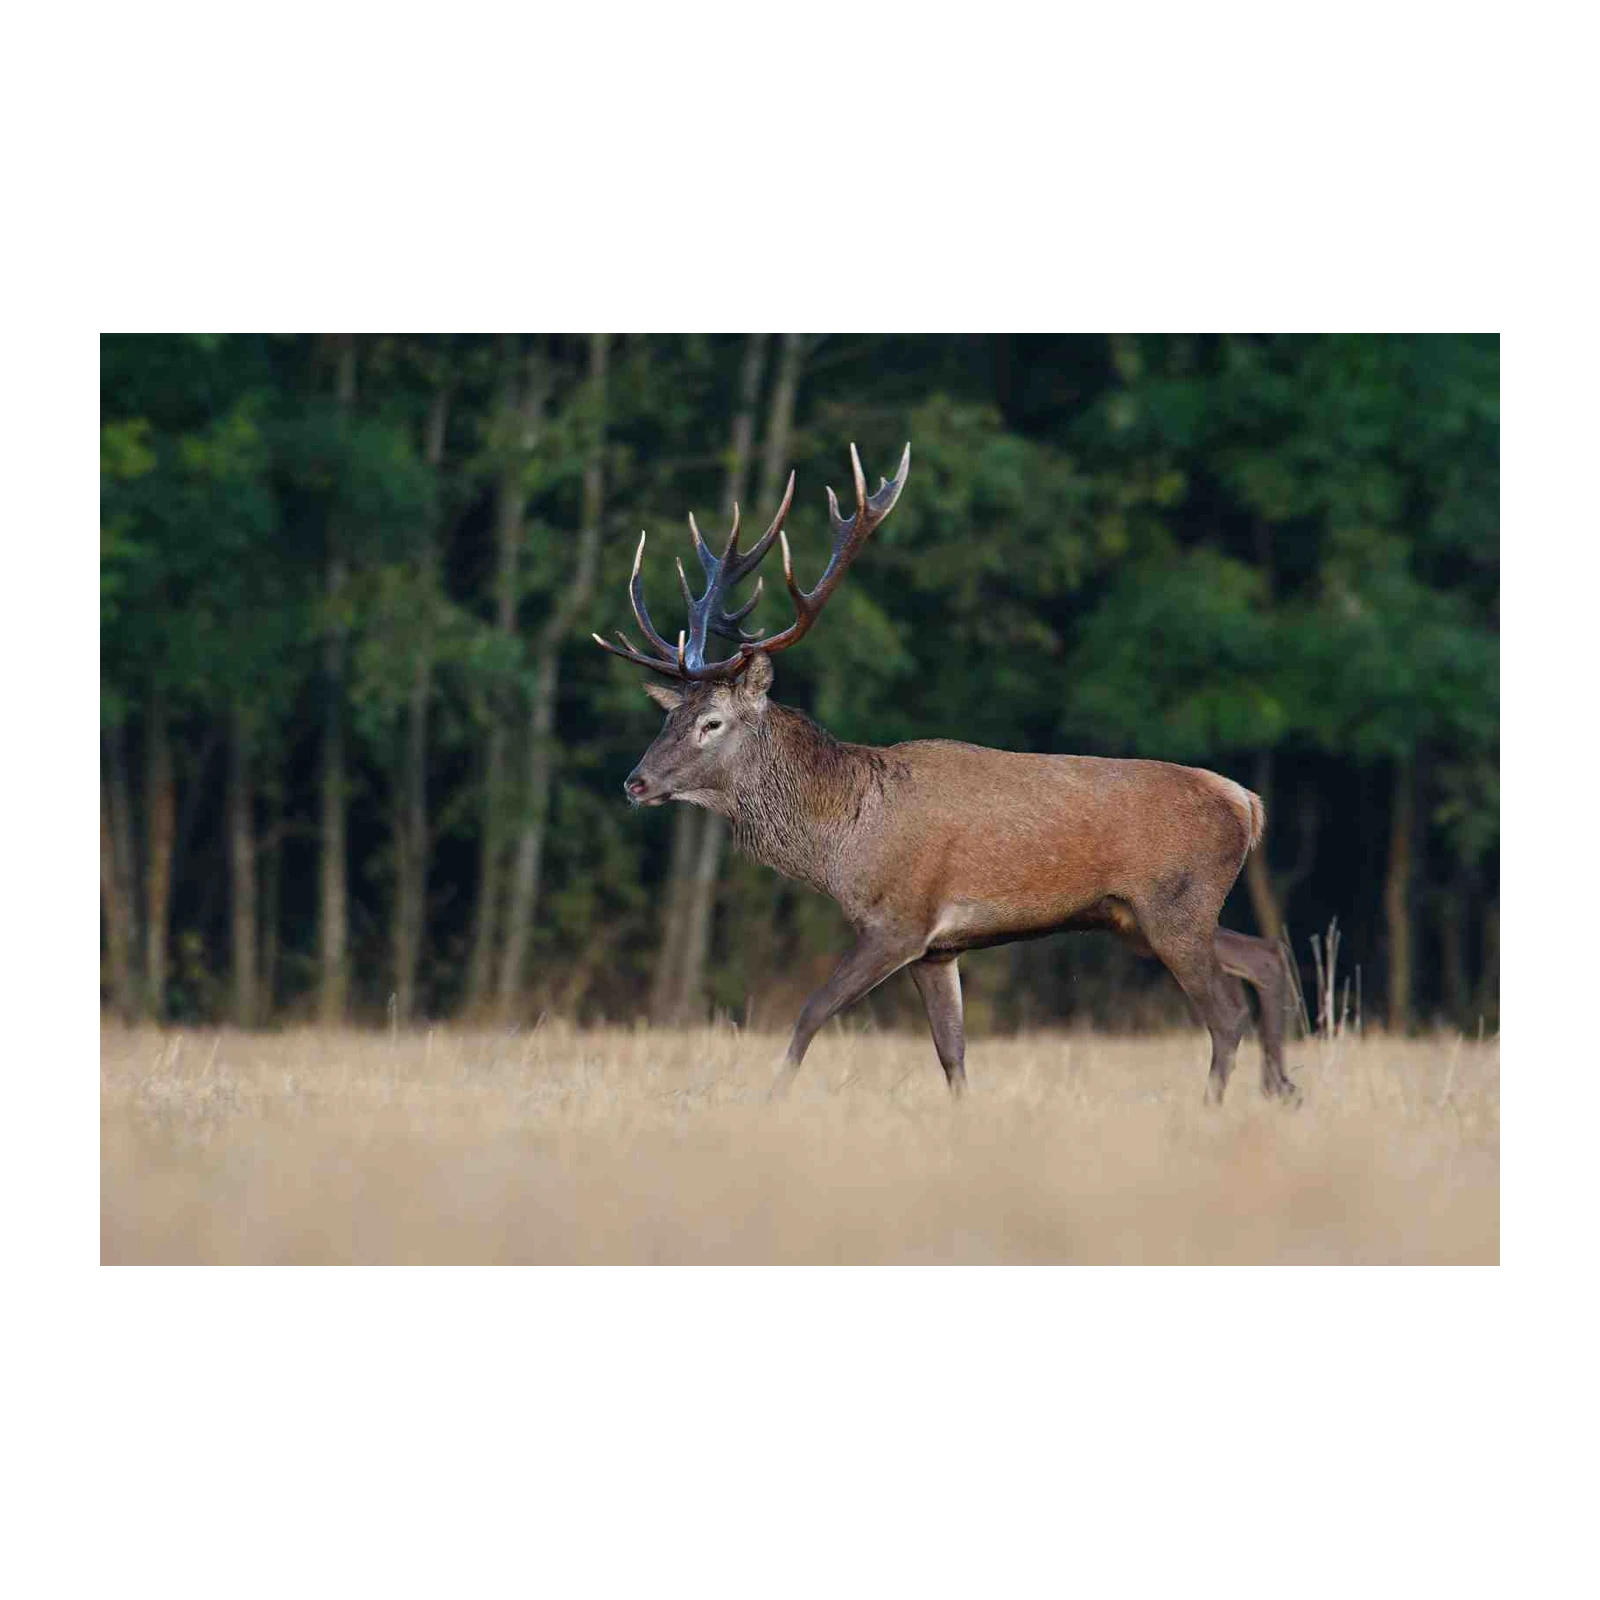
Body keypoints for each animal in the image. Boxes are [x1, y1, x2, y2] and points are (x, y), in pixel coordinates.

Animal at [593, 443, 1299, 1106]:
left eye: (711, 722)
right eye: (669, 715)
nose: (635, 782)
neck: (843, 840)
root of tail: (1247, 802)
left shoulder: (899, 921)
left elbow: (809, 1014)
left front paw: (771, 1102)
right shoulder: (939, 949)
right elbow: (952, 1053)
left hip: (1175, 905)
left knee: (1227, 1014)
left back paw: (1219, 1106)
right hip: (1143, 919)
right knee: (1267, 956)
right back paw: (1283, 1088)